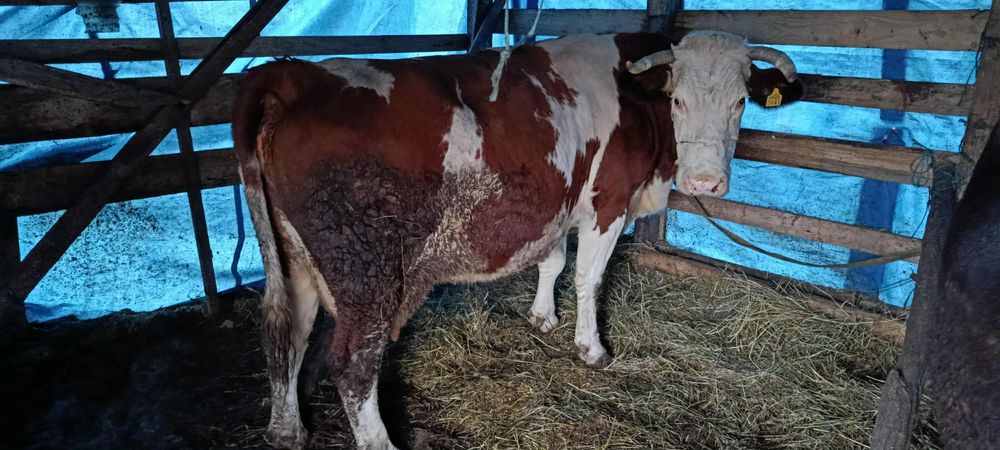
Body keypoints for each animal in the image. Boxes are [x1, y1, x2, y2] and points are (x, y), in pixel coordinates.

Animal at [231, 30, 804, 450]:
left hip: (293, 257)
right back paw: (380, 443)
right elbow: (589, 278)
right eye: (678, 100)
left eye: (740, 101)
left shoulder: (554, 202)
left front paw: (542, 318)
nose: (707, 183)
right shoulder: (609, 201)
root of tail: (288, 73)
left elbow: (551, 263)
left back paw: (287, 430)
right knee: (352, 363)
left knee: (286, 330)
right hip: (365, 270)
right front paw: (591, 348)